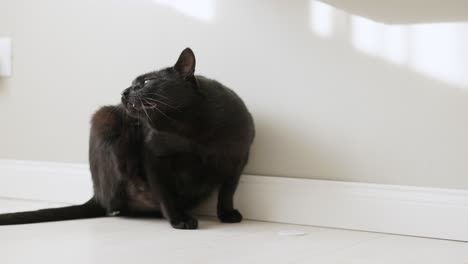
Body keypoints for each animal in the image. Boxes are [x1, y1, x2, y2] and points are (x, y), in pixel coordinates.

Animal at [0, 48, 254, 229]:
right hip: (105, 117)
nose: (124, 92)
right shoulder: (154, 157)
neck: (191, 134)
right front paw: (179, 220)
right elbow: (166, 193)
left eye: (146, 82)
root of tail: (96, 196)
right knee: (116, 199)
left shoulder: (238, 159)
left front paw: (227, 214)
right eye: (132, 83)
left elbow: (227, 192)